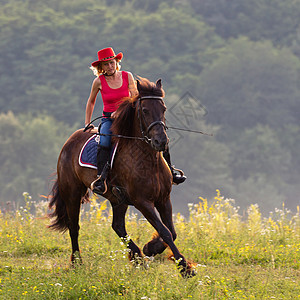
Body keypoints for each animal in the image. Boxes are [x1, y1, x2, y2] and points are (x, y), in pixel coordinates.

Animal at [47, 77, 195, 276]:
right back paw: (77, 262)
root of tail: (71, 139)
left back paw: (138, 257)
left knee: (118, 226)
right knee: (74, 227)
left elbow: (172, 231)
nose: (161, 141)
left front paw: (150, 248)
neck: (147, 159)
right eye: (145, 110)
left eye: (163, 109)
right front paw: (184, 268)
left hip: (118, 200)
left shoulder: (164, 199)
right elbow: (165, 231)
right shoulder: (143, 202)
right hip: (72, 192)